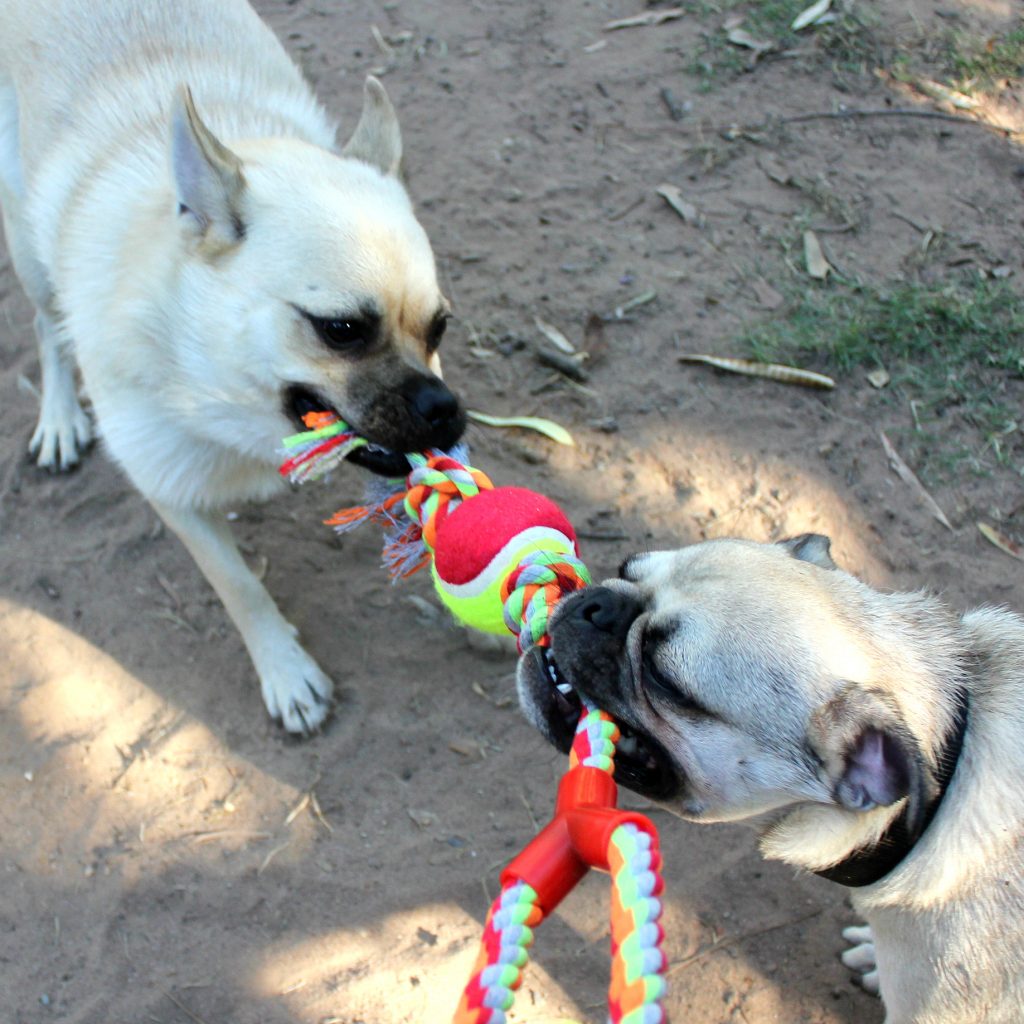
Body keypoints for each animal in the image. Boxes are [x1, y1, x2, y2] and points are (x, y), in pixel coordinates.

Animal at [0, 0, 464, 737]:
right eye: (341, 331)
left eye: (439, 327)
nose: (447, 413)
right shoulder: (171, 488)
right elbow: (239, 586)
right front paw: (286, 671)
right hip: (27, 246)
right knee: (47, 326)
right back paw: (60, 417)